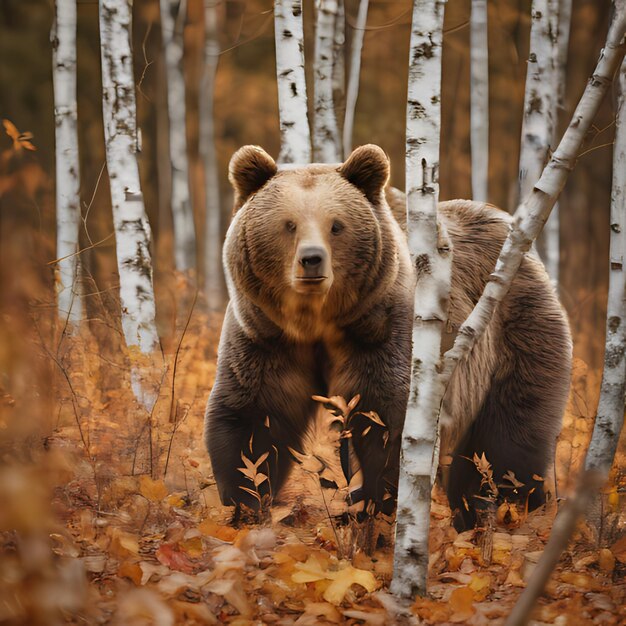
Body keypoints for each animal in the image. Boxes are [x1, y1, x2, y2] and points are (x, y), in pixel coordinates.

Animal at [205, 143, 572, 528]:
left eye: (336, 226)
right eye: (289, 224)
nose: (312, 259)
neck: (318, 322)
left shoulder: (382, 331)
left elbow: (388, 418)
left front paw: (373, 503)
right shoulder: (266, 336)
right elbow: (253, 419)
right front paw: (244, 504)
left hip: (515, 330)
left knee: (509, 439)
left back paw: (511, 506)